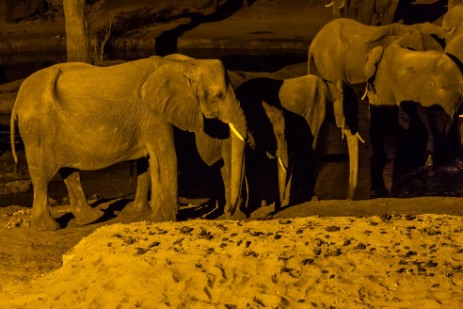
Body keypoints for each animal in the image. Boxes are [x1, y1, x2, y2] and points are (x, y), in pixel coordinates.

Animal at [10, 54, 250, 229]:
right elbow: (167, 156)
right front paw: (168, 219)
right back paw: (49, 227)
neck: (183, 64)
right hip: (38, 130)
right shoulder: (154, 115)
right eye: (219, 96)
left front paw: (155, 217)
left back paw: (91, 218)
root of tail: (18, 101)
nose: (230, 212)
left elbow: (154, 160)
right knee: (42, 176)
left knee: (68, 172)